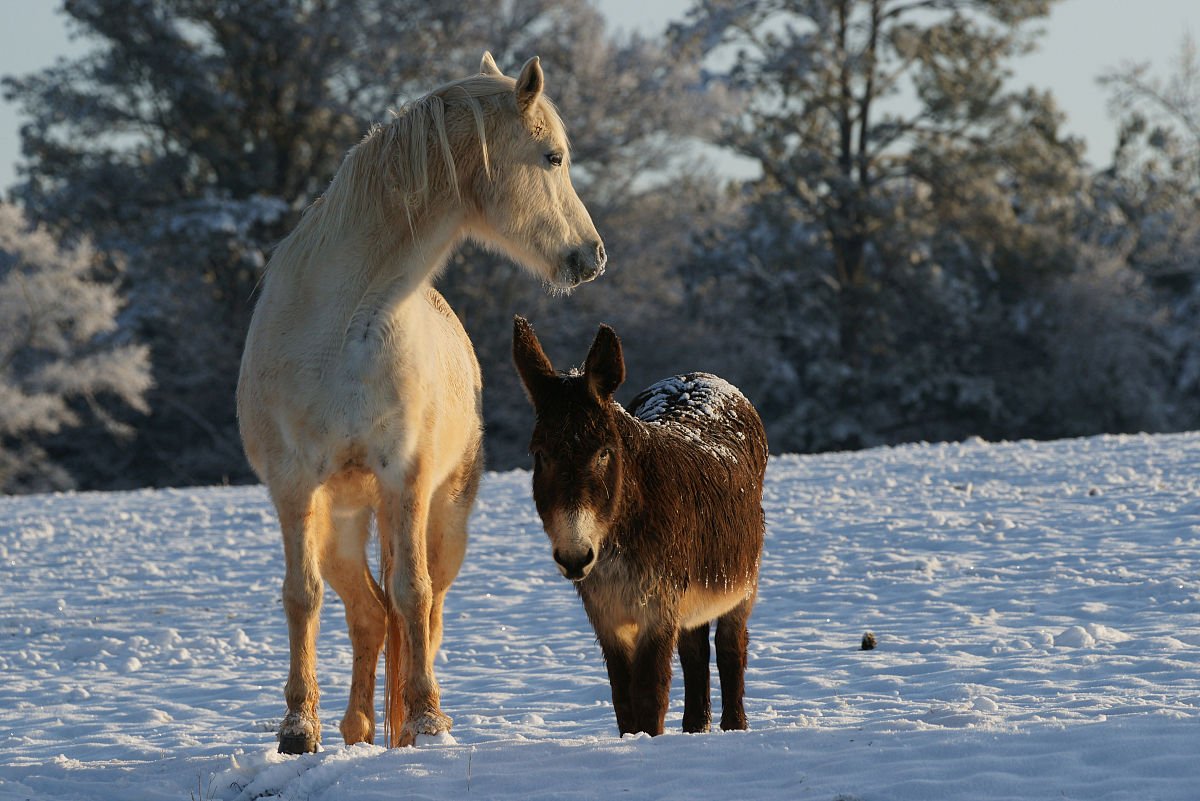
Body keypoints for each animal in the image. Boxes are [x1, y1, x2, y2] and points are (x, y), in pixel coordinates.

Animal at [237, 53, 606, 754]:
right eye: (552, 157)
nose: (591, 256)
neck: (343, 326)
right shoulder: (295, 487)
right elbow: (303, 597)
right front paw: (298, 730)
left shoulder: (402, 477)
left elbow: (413, 594)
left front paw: (428, 721)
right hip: (342, 523)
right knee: (366, 613)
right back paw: (357, 729)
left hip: (441, 517)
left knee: (423, 610)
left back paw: (413, 719)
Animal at [511, 316, 767, 736]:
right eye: (540, 454)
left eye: (604, 453)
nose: (574, 557)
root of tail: (695, 374)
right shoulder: (607, 616)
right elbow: (623, 699)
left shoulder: (657, 610)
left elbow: (650, 695)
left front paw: (648, 743)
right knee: (695, 651)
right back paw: (695, 727)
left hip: (742, 586)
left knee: (732, 650)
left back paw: (734, 726)